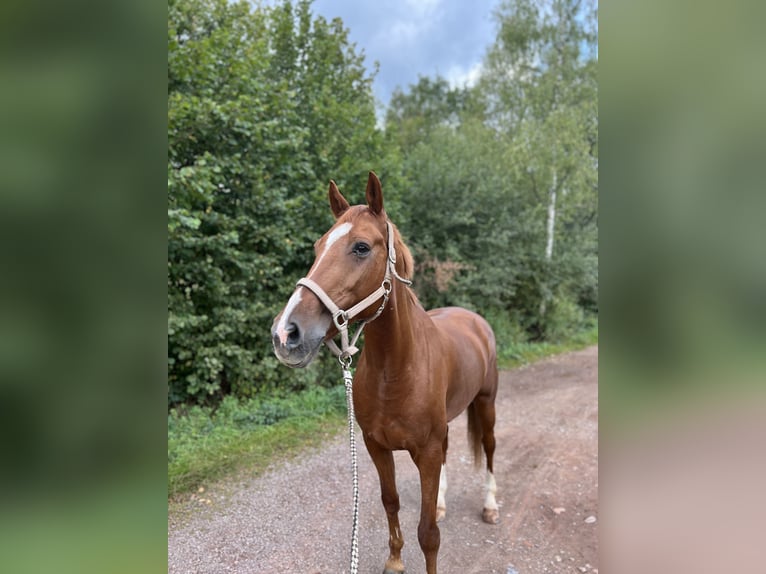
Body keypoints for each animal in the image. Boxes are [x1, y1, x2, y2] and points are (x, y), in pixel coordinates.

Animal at [271, 172, 499, 574]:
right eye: (317, 247)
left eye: (361, 247)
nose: (286, 333)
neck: (395, 371)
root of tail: (474, 319)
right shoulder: (376, 445)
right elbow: (390, 501)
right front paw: (394, 560)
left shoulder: (425, 451)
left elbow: (428, 533)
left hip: (487, 404)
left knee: (489, 449)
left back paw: (490, 506)